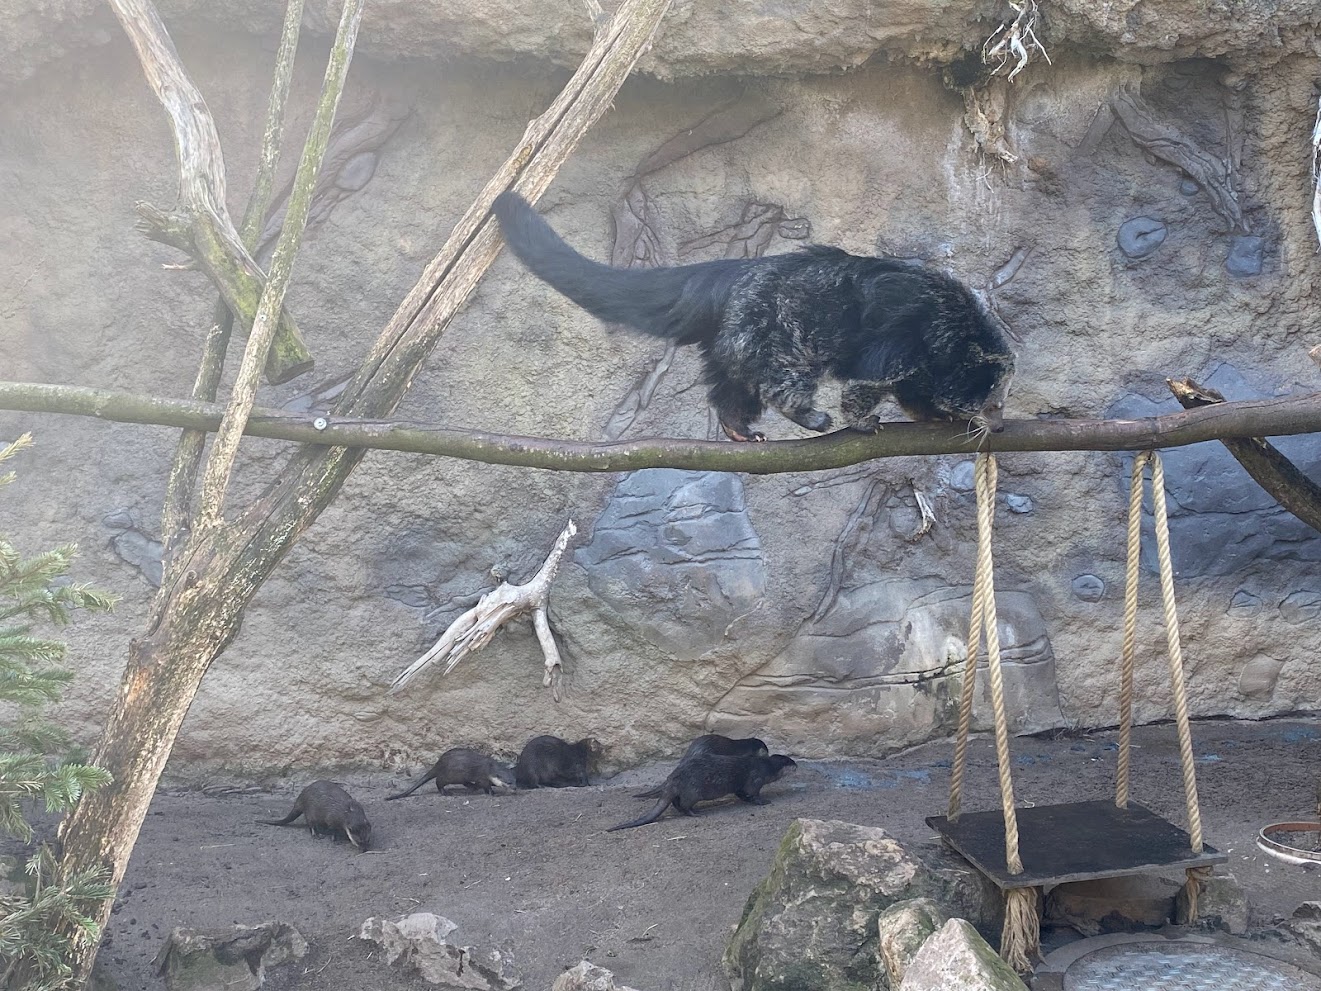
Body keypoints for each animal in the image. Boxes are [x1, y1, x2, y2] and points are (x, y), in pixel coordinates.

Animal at [493, 191, 1015, 442]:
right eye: (994, 401)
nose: (1000, 425)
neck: (955, 337)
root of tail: (733, 276)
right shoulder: (905, 341)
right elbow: (869, 380)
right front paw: (864, 420)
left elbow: (913, 391)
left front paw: (933, 414)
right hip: (769, 323)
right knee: (780, 373)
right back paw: (805, 414)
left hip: (737, 332)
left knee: (730, 380)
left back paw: (734, 425)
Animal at [607, 753, 797, 831]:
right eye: (791, 762)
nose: (797, 765)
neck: (767, 767)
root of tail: (673, 778)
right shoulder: (756, 779)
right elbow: (753, 794)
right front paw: (763, 802)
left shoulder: (740, 787)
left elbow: (741, 793)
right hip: (694, 791)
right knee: (684, 804)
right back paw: (696, 813)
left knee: (676, 802)